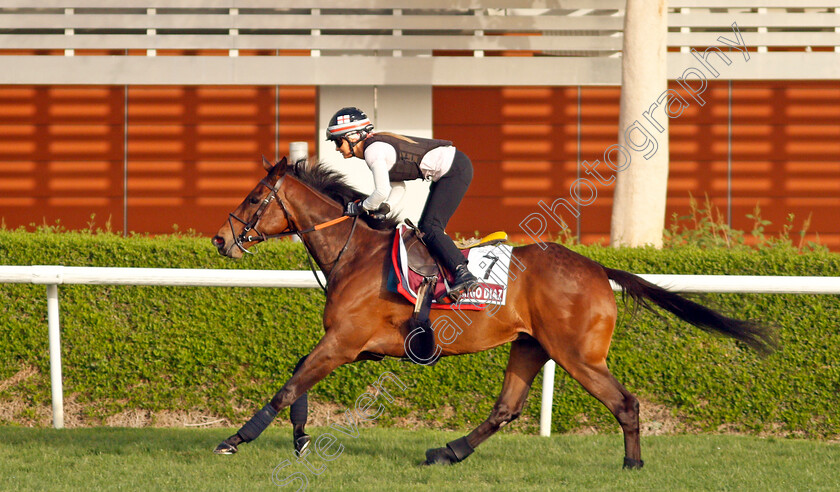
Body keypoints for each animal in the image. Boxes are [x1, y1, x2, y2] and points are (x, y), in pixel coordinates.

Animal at [208, 158, 776, 468]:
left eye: (255, 198)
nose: (220, 239)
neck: (358, 254)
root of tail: (596, 267)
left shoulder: (346, 342)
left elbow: (288, 386)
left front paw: (236, 440)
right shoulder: (357, 346)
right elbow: (298, 381)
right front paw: (301, 440)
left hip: (577, 356)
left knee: (625, 402)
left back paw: (632, 463)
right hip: (531, 346)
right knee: (506, 408)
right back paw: (448, 451)